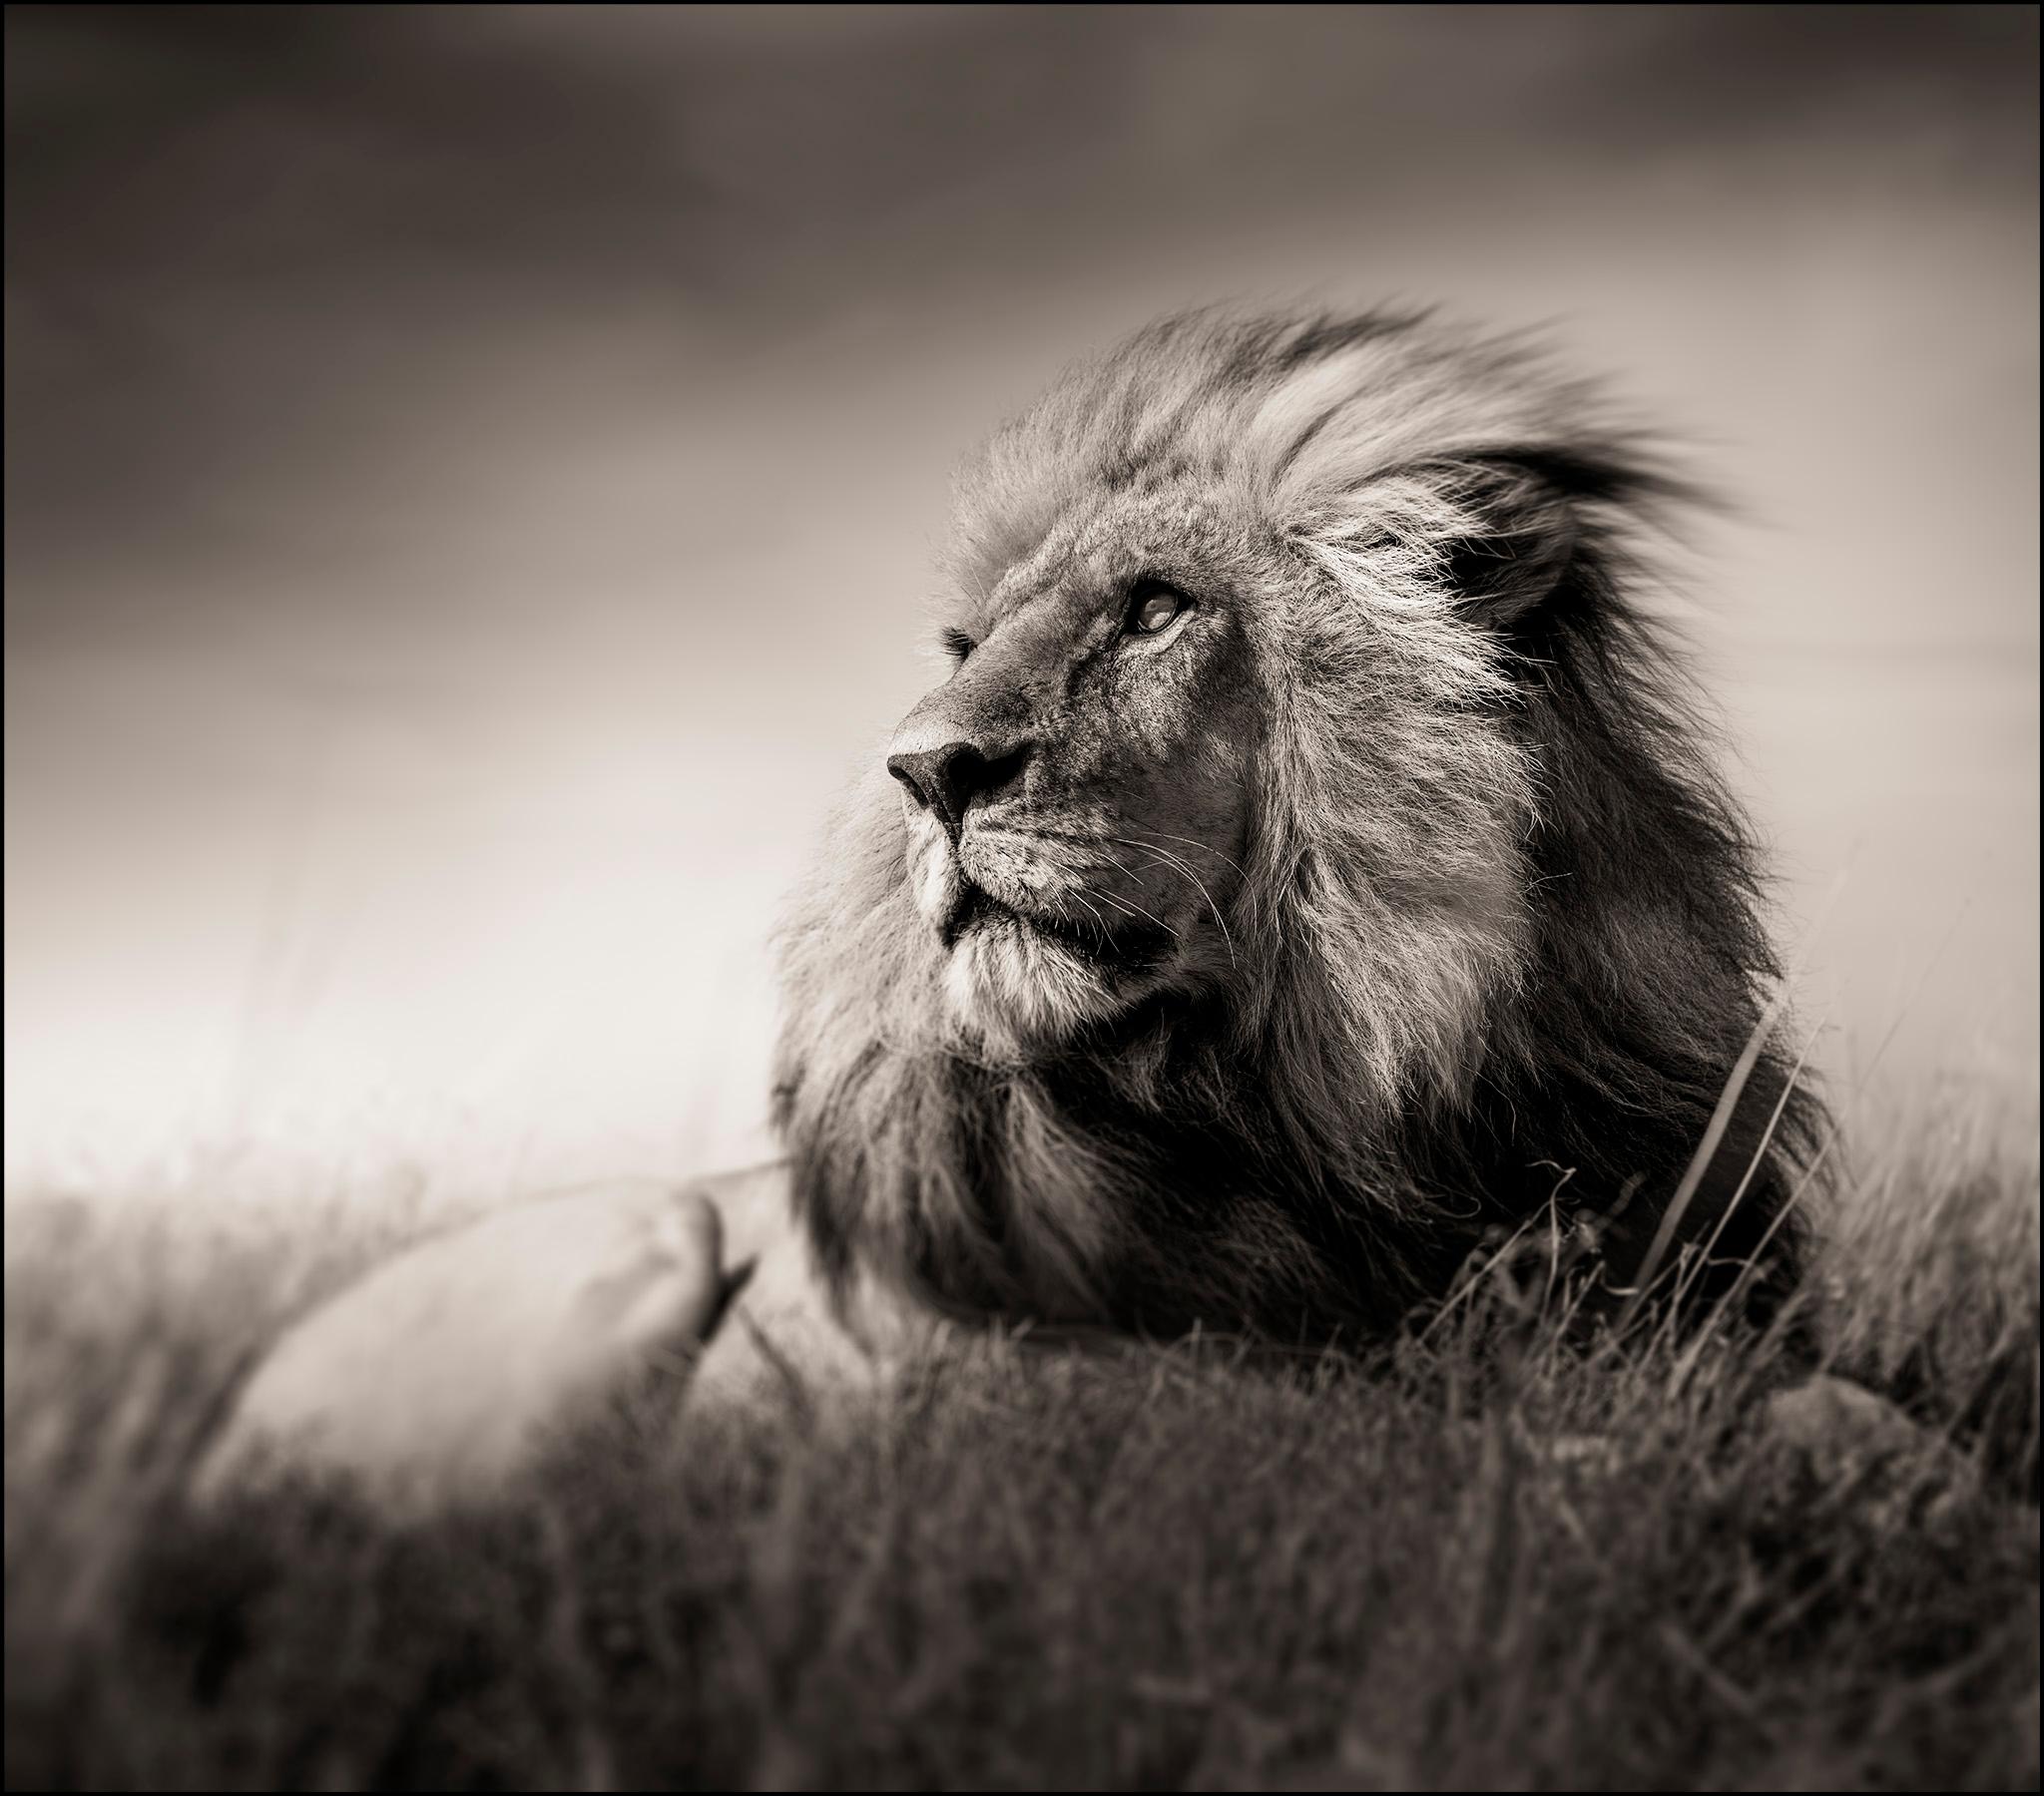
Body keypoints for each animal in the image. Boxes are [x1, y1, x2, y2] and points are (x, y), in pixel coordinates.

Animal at [200, 308, 1828, 1511]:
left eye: (1157, 608)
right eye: (969, 646)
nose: (925, 768)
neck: (1346, 1113)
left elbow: (1826, 1406)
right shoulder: (1083, 1393)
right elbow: (1377, 1436)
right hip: (642, 1235)